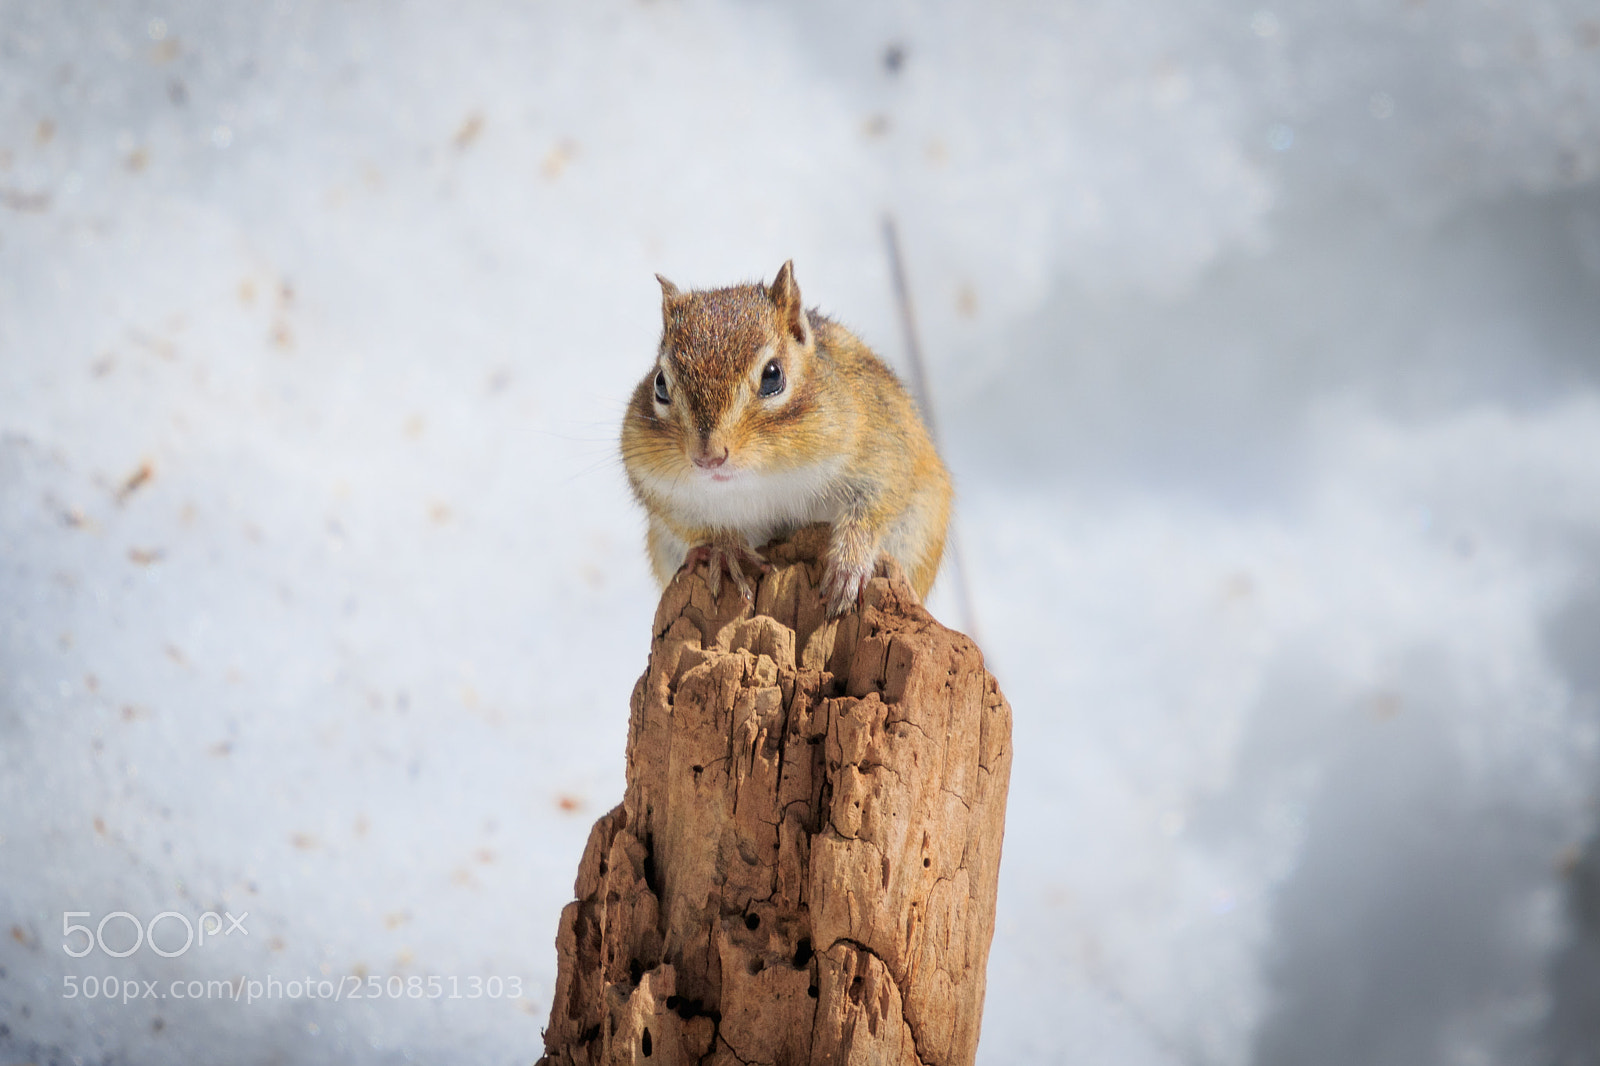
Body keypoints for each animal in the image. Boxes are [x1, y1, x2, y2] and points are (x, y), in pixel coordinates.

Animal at [620, 260, 953, 617]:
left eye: (772, 375)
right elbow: (699, 526)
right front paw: (725, 550)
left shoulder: (883, 452)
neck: (765, 476)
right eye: (660, 384)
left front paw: (847, 568)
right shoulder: (660, 491)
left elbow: (873, 508)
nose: (708, 458)